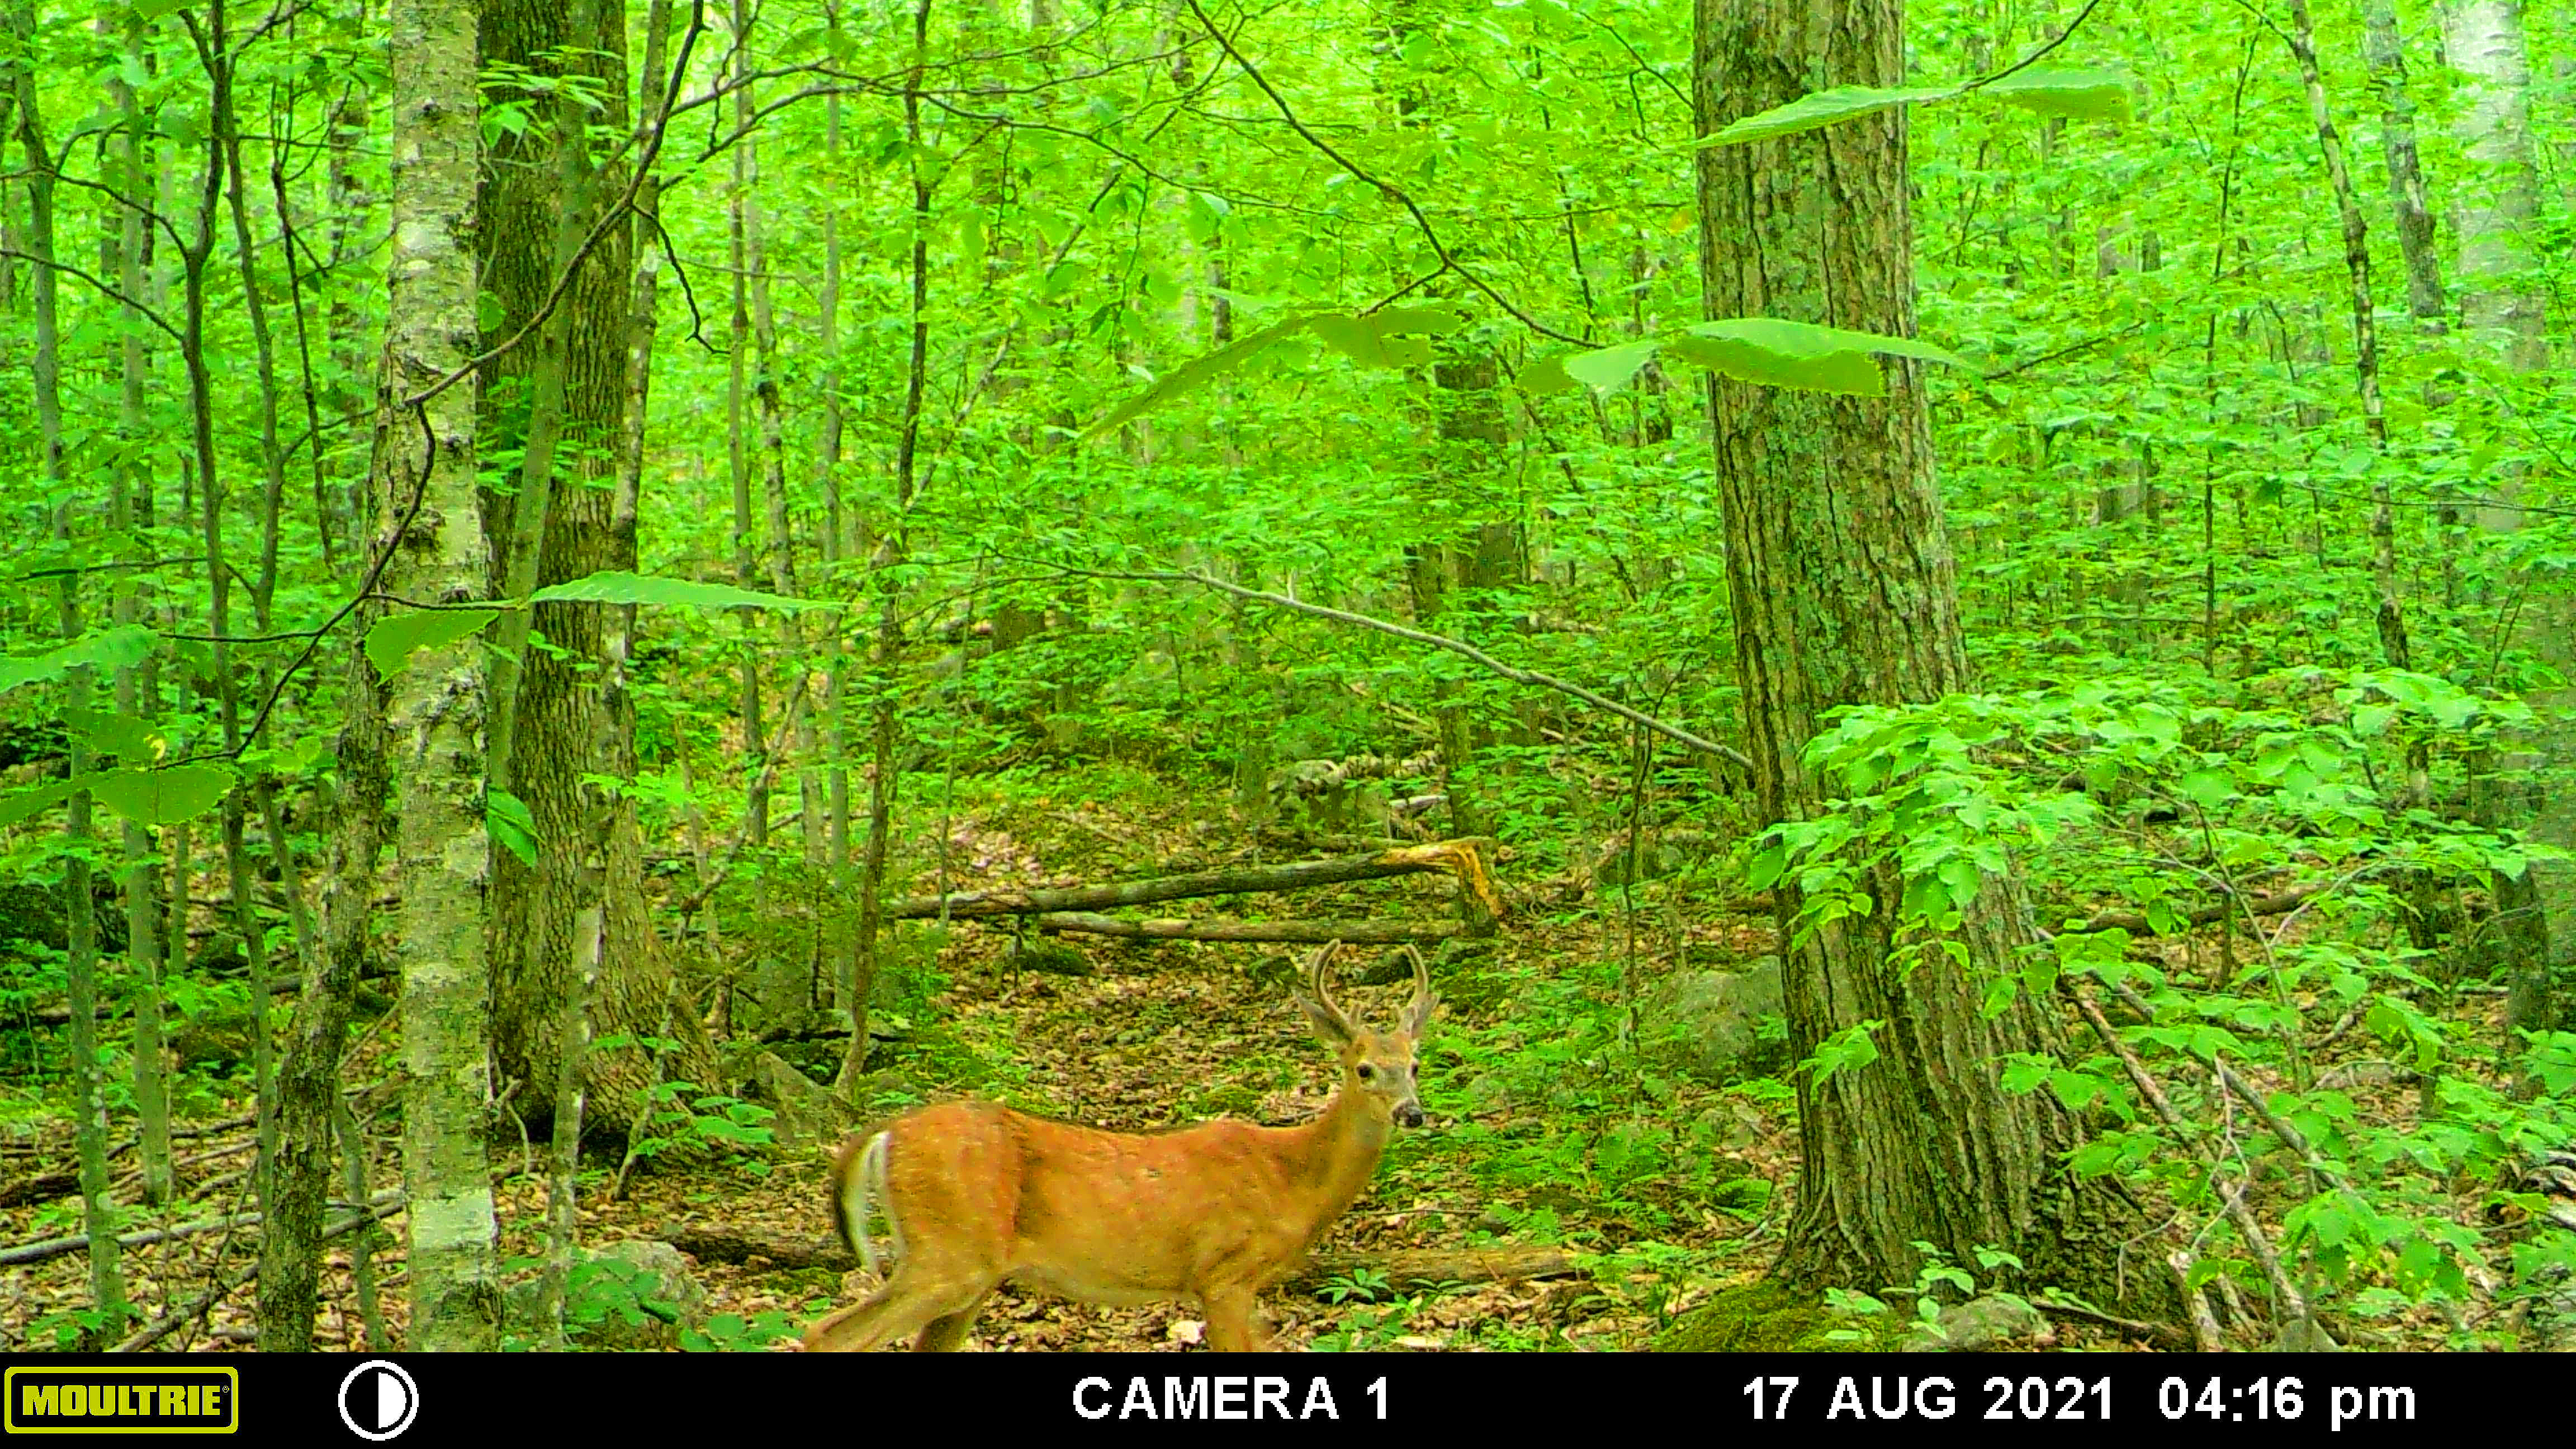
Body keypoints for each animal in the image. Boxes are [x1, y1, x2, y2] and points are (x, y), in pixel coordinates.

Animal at [798, 938, 1432, 1341]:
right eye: (1364, 1069)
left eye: (1414, 1064)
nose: (1413, 1113)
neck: (1291, 1176)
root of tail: (885, 1131)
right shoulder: (1223, 1274)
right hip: (949, 1251)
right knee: (827, 1333)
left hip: (967, 1272)